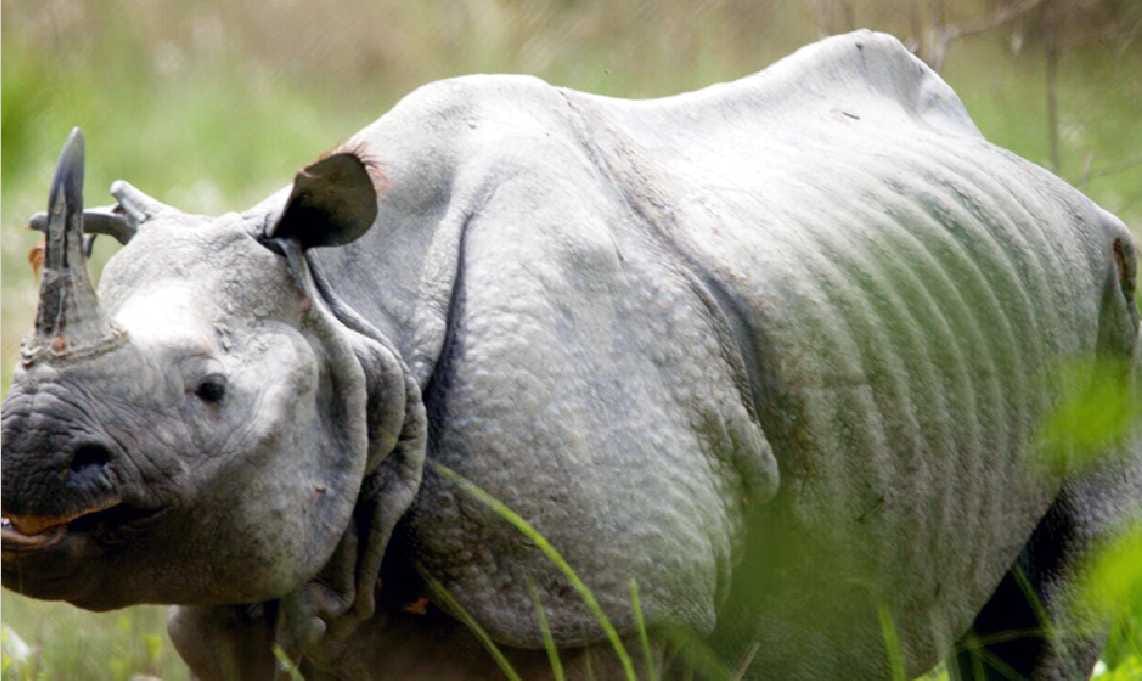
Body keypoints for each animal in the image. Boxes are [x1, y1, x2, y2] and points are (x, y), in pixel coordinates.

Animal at [1, 30, 1139, 681]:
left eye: (211, 391)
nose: (26, 452)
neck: (359, 317)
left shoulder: (608, 603)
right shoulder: (244, 581)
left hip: (1112, 291)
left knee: (1048, 618)